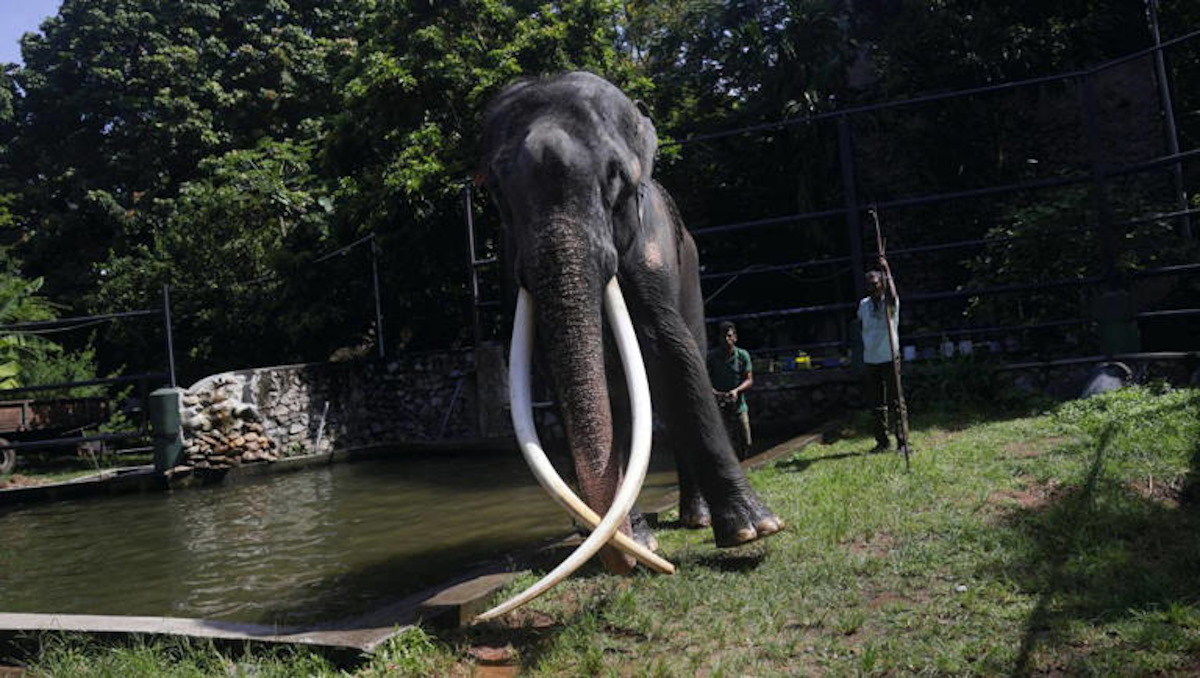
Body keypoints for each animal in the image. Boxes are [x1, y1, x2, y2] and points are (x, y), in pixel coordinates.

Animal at [475, 72, 784, 620]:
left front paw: (755, 531)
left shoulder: (651, 248)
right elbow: (555, 372)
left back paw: (696, 520)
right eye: (495, 192)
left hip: (692, 268)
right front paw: (634, 543)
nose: (626, 566)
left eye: (615, 177)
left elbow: (672, 351)